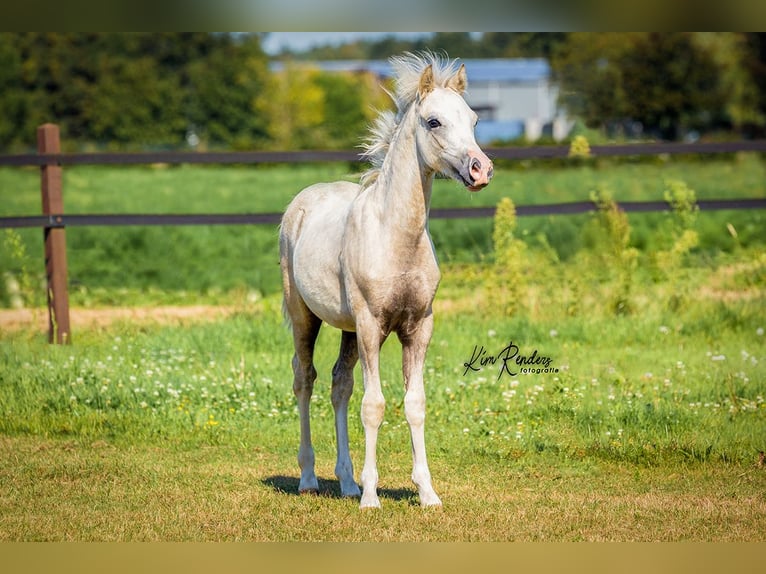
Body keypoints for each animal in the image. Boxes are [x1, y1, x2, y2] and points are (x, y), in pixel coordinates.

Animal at [280, 51, 496, 510]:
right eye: (433, 121)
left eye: (472, 119)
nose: (481, 169)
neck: (395, 236)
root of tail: (302, 202)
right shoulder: (370, 325)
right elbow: (374, 405)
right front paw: (371, 498)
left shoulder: (418, 327)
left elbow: (414, 403)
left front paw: (427, 493)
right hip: (305, 315)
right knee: (304, 380)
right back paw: (309, 478)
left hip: (345, 328)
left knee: (339, 385)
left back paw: (346, 481)